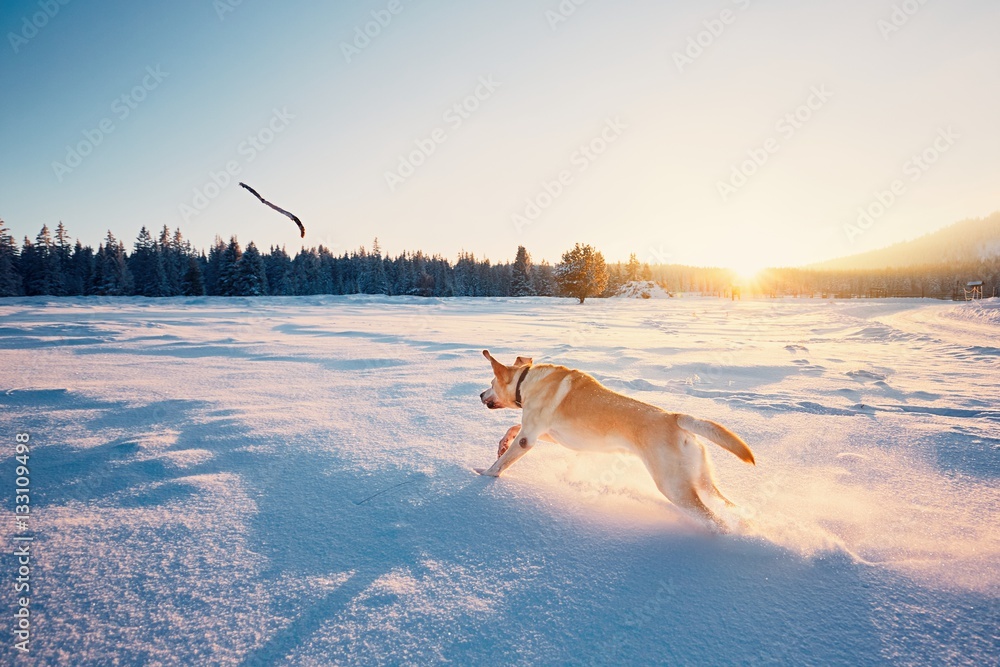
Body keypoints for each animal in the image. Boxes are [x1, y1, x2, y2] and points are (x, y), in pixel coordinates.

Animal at [474, 350, 752, 532]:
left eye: (491, 382)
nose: (480, 394)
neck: (526, 382)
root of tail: (675, 418)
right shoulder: (543, 433)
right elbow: (512, 428)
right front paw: (501, 443)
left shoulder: (528, 439)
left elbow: (501, 464)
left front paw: (483, 474)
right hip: (702, 479)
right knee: (726, 503)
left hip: (673, 486)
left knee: (714, 520)